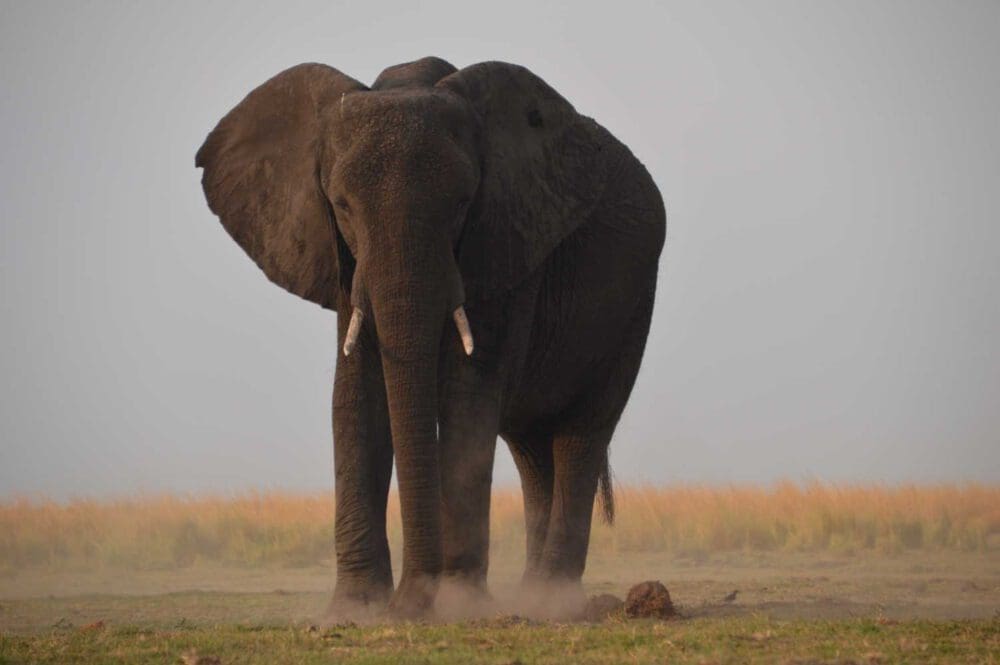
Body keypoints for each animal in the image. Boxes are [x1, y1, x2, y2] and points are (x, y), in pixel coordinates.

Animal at [194, 58, 664, 616]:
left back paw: (553, 601)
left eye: (463, 204)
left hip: (633, 305)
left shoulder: (504, 240)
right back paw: (531, 596)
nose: (414, 599)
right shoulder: (344, 262)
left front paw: (455, 603)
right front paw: (355, 611)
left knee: (579, 434)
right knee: (531, 450)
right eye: (342, 206)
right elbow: (356, 395)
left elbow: (468, 392)